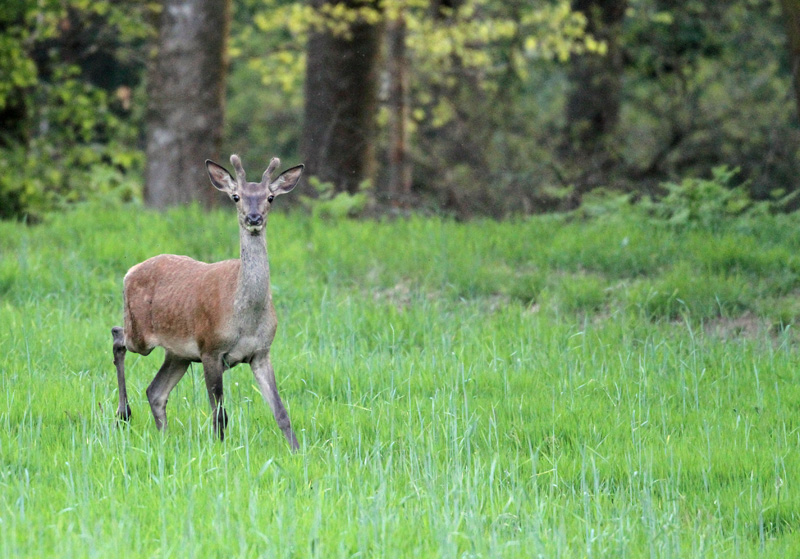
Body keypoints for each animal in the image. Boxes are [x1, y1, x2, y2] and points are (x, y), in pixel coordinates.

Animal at [109, 153, 304, 450]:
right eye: (236, 196)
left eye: (270, 197)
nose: (254, 217)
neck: (245, 318)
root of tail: (130, 271)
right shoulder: (210, 347)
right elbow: (220, 413)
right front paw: (220, 449)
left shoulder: (261, 352)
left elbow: (281, 412)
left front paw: (296, 450)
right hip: (141, 334)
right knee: (117, 335)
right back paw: (123, 414)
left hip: (178, 353)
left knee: (155, 390)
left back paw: (163, 437)